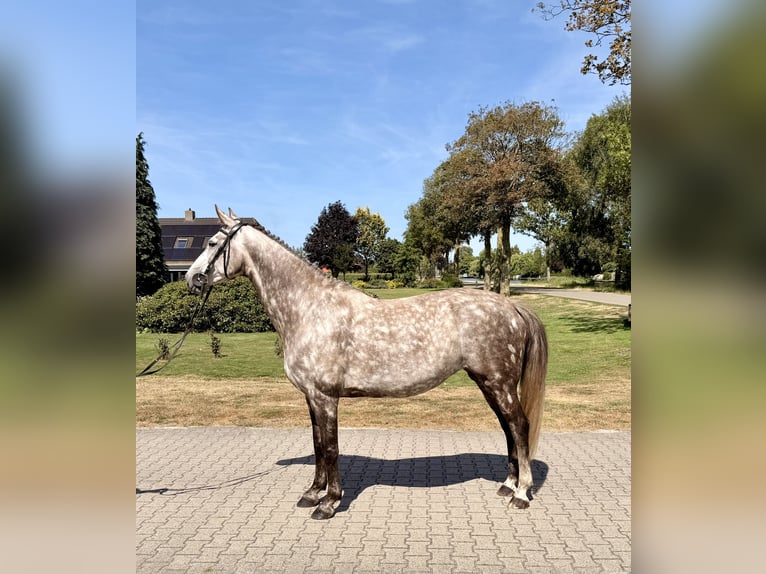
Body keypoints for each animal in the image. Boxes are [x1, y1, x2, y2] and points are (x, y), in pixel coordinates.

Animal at [186, 206, 547, 520]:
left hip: (499, 383)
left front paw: (329, 503)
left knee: (519, 426)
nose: (191, 279)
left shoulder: (325, 397)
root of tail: (511, 307)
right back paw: (507, 485)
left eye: (213, 243)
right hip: (489, 383)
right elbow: (318, 444)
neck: (310, 309)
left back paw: (520, 494)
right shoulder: (312, 397)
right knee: (508, 428)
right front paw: (312, 493)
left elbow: (330, 448)